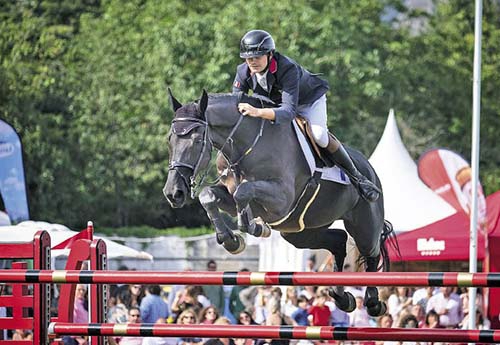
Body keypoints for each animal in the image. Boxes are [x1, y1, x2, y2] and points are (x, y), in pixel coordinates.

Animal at [164, 88, 394, 314]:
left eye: (196, 140)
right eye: (169, 140)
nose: (173, 193)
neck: (246, 146)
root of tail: (369, 168)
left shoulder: (281, 200)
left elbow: (243, 191)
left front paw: (254, 228)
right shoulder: (235, 196)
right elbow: (209, 195)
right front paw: (231, 240)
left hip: (364, 225)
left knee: (371, 252)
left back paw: (373, 303)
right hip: (301, 230)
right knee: (338, 241)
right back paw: (342, 298)